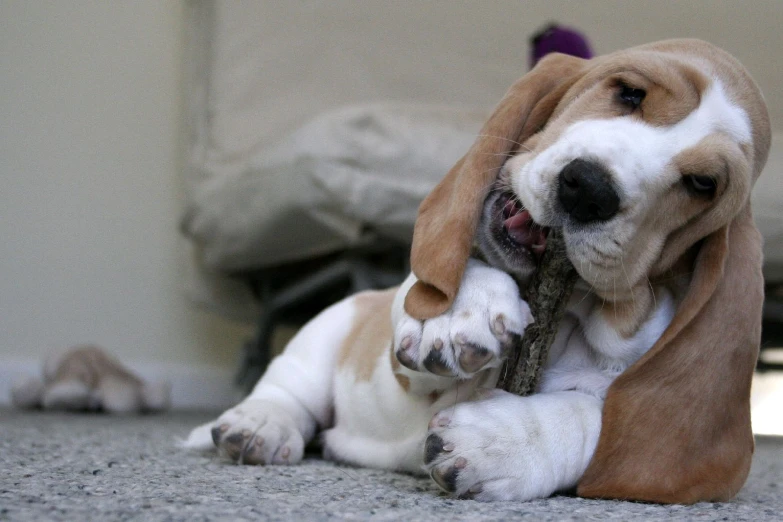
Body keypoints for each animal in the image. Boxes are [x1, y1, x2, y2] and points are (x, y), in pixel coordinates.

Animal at [185, 38, 772, 502]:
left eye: (703, 184)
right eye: (629, 92)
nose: (589, 189)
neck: (573, 313)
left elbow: (597, 415)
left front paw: (499, 442)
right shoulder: (407, 373)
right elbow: (433, 297)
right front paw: (458, 314)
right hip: (326, 331)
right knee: (288, 386)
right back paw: (257, 424)